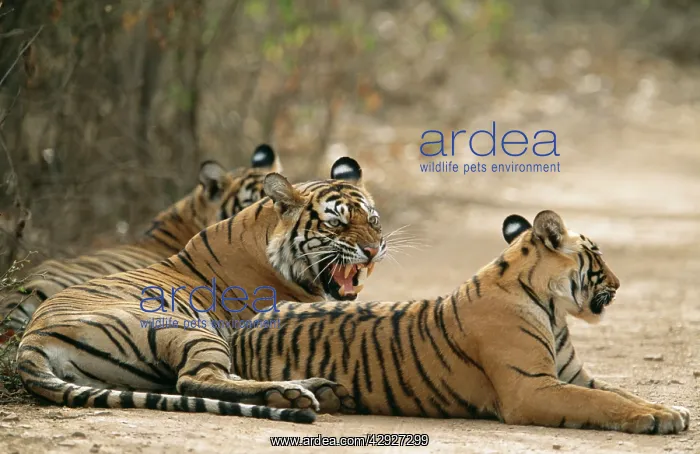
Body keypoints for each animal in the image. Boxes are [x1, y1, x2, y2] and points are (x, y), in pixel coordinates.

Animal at [16, 156, 386, 424]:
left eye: (373, 220)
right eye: (335, 223)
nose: (373, 250)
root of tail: (32, 340)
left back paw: (318, 387)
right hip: (188, 329)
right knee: (196, 379)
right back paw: (292, 393)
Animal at [229, 210, 691, 434]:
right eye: (596, 257)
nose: (619, 283)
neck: (554, 310)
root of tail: (246, 326)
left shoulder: (573, 376)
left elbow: (622, 393)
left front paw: (669, 410)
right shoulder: (532, 387)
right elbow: (603, 402)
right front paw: (657, 419)